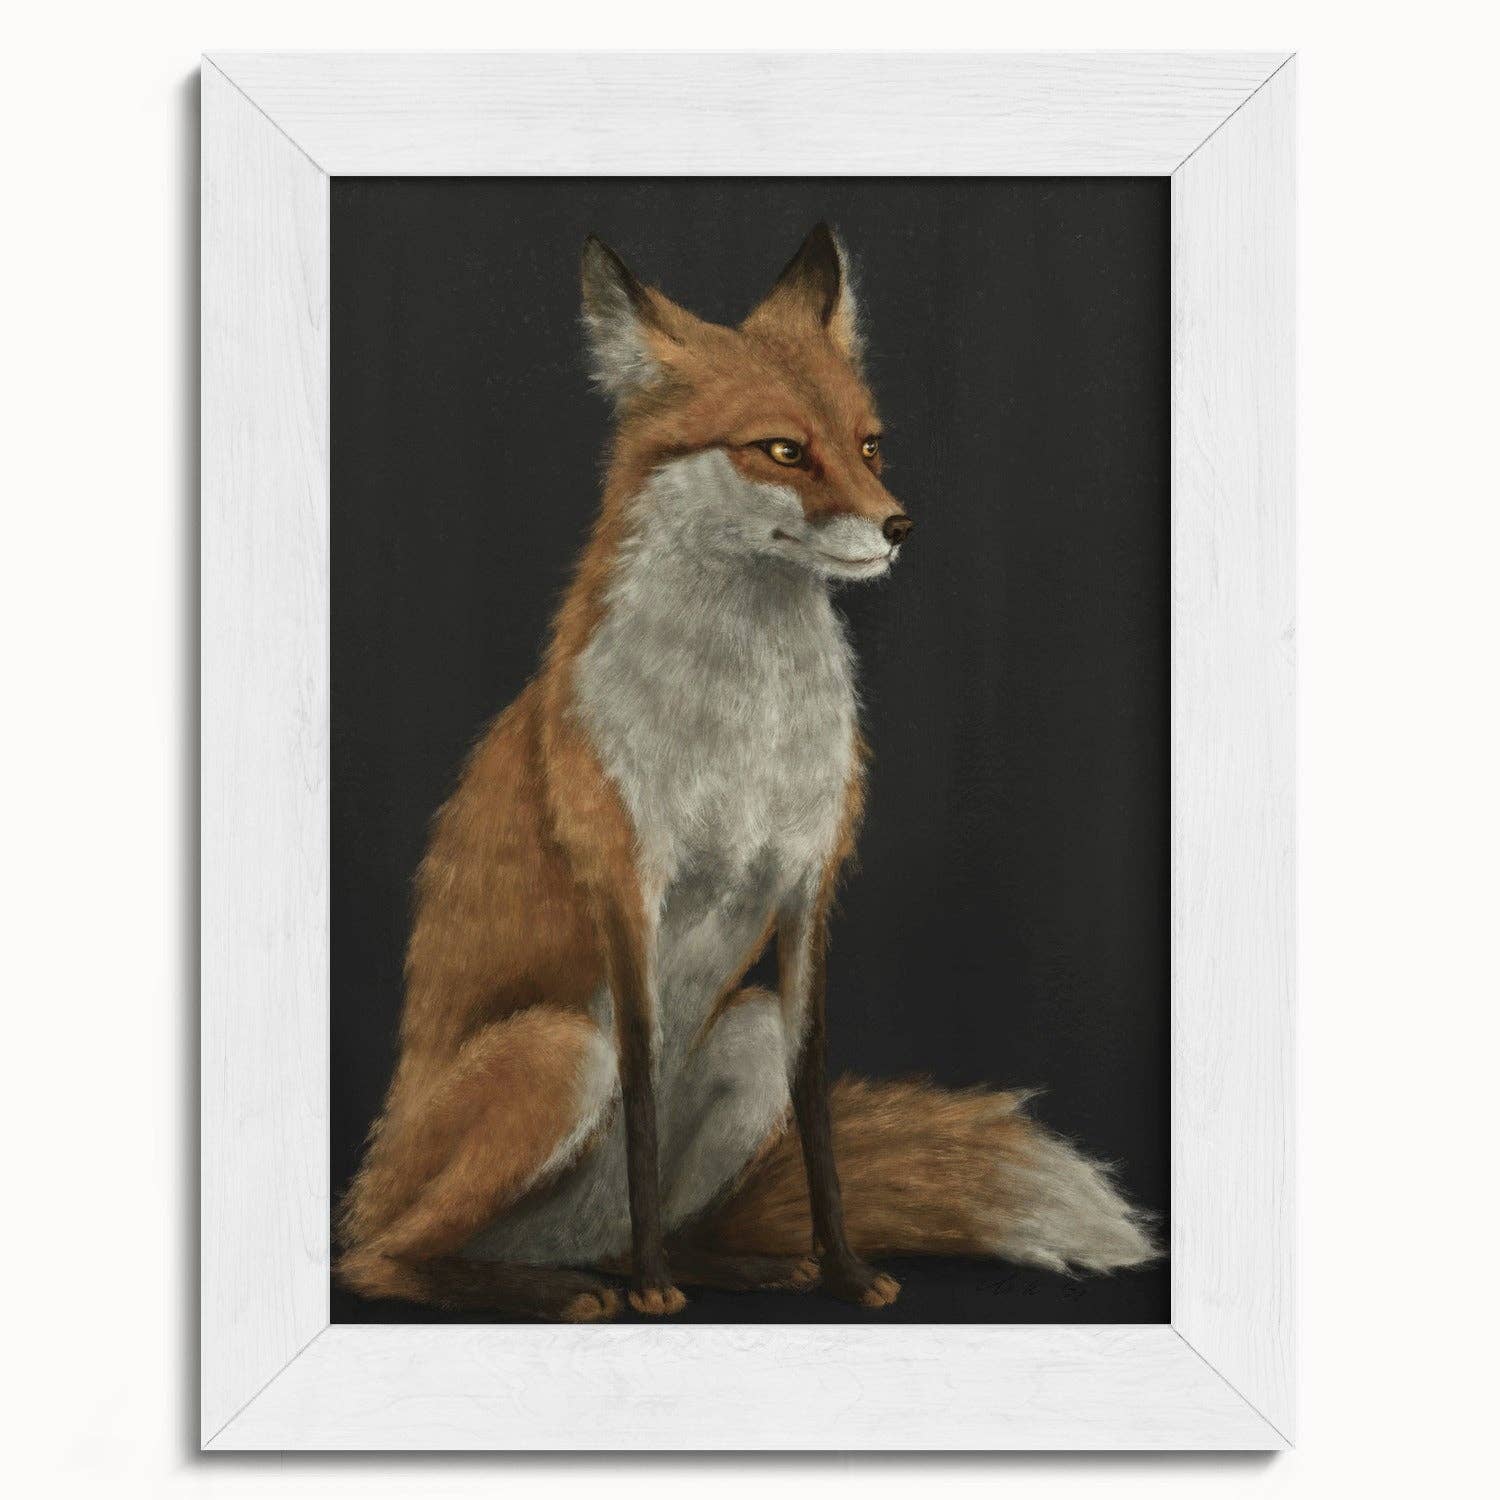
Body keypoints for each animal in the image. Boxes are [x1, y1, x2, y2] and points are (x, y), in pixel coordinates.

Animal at [336, 224, 1156, 1321]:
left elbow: (816, 1115)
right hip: (558, 1051)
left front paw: (844, 1271)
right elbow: (642, 1100)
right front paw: (654, 1292)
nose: (899, 526)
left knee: (638, 1223)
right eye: (782, 450)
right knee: (379, 1261)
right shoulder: (628, 887)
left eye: (869, 445)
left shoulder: (810, 886)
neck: (746, 729)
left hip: (745, 1032)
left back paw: (729, 1265)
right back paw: (572, 1287)